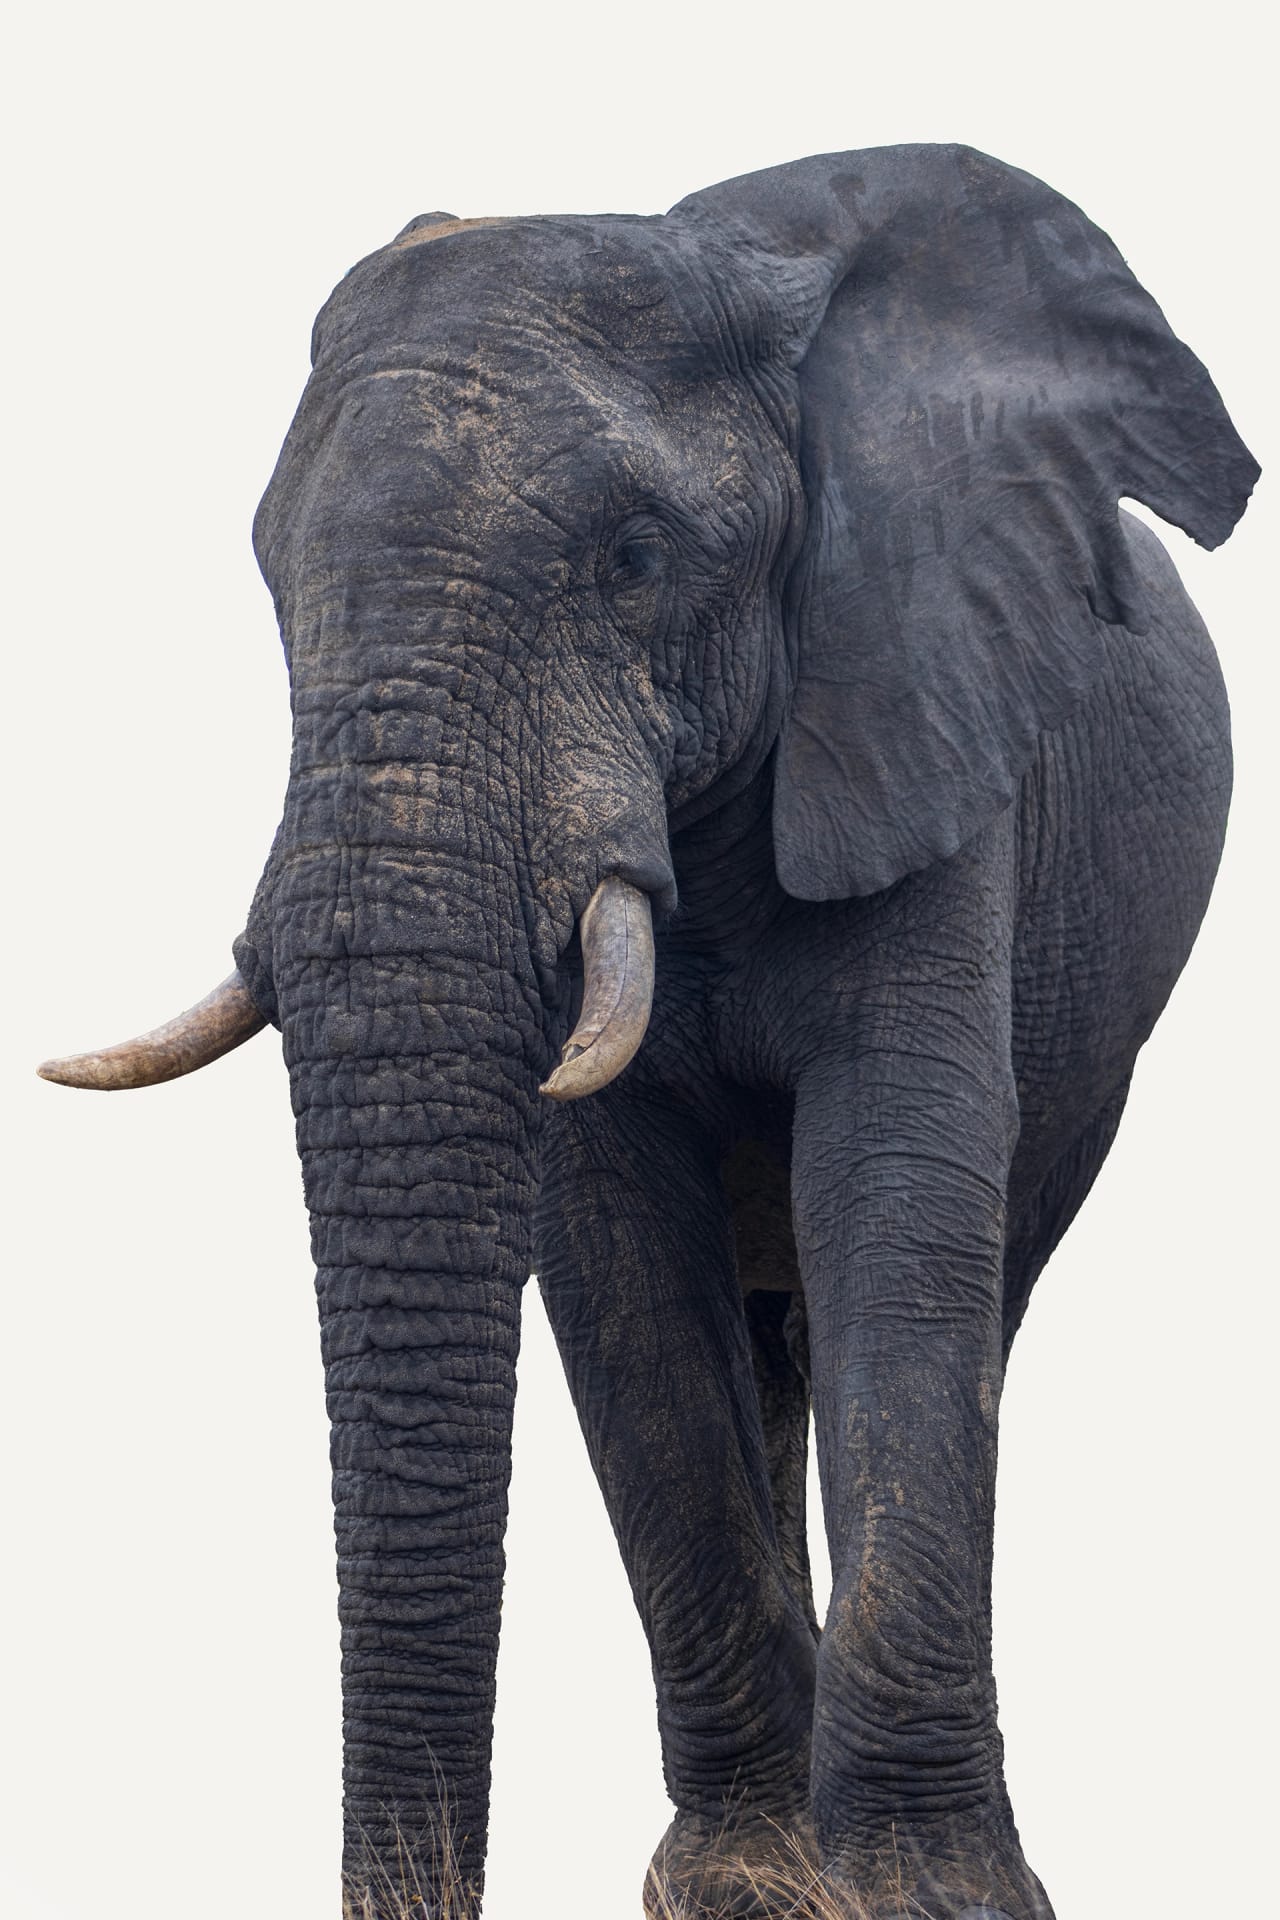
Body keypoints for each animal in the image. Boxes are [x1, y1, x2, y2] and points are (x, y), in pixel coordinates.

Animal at [39, 144, 1257, 1919]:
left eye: (633, 559)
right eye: (270, 576)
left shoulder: (925, 709)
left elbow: (898, 1200)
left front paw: (927, 1897)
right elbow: (618, 1255)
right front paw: (751, 1885)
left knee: (966, 1283)